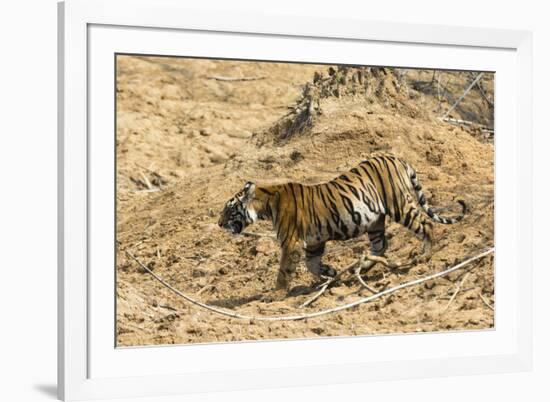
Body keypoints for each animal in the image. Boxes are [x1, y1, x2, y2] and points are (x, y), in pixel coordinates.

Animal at [218, 154, 468, 292]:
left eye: (229, 209)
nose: (219, 224)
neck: (266, 204)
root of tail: (397, 158)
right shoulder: (314, 242)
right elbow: (311, 264)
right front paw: (330, 272)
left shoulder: (291, 242)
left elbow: (284, 271)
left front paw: (275, 295)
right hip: (375, 221)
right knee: (381, 246)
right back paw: (363, 267)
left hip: (399, 205)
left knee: (426, 225)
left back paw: (425, 255)